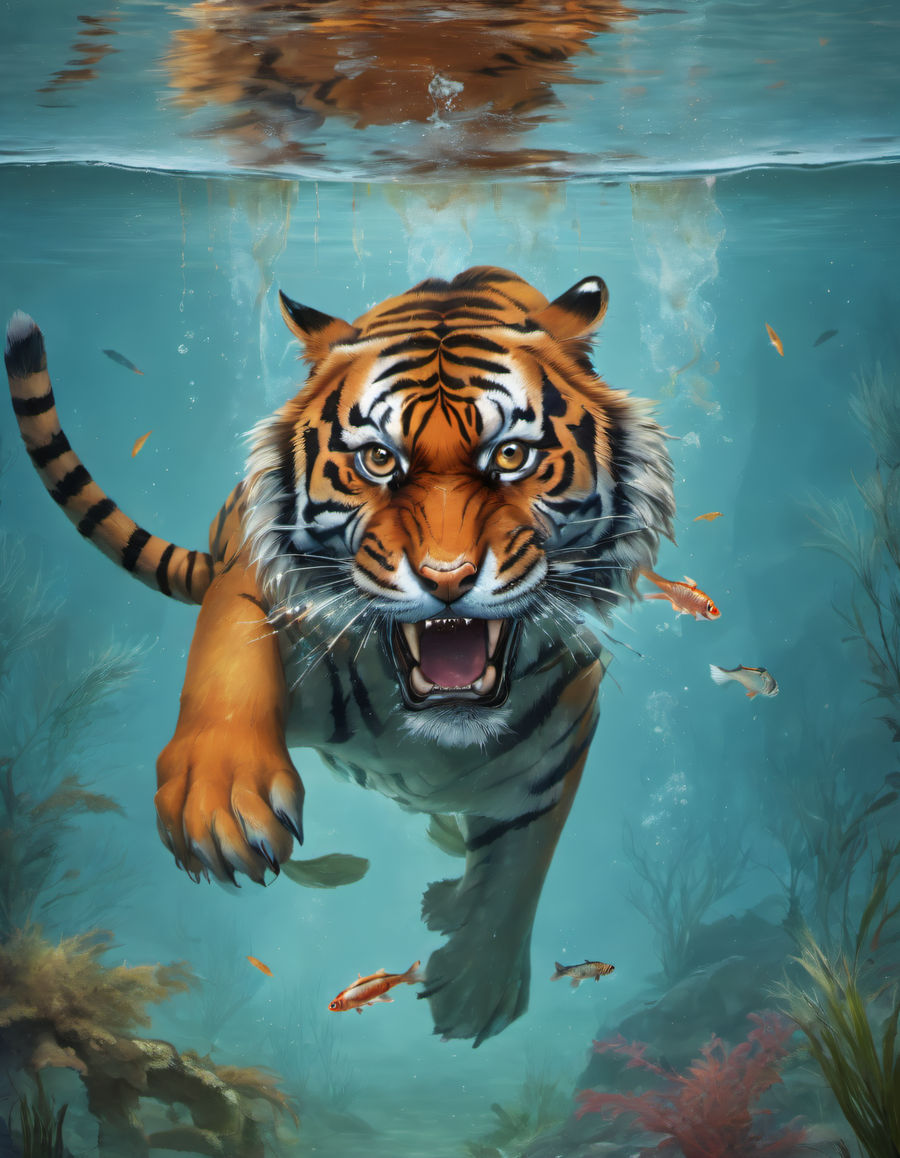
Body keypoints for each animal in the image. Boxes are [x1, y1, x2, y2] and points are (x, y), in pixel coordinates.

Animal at [5, 266, 675, 1046]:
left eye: (511, 455)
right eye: (378, 460)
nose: (447, 577)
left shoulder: (554, 759)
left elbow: (515, 876)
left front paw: (475, 988)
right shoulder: (258, 587)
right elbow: (226, 658)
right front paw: (219, 803)